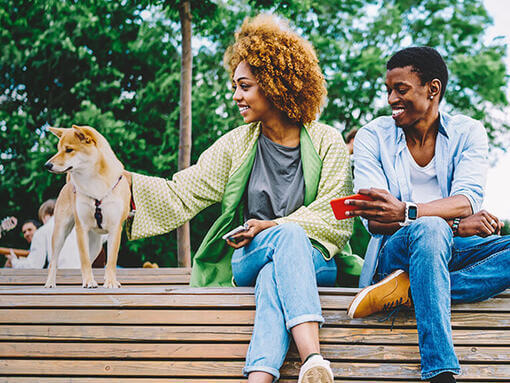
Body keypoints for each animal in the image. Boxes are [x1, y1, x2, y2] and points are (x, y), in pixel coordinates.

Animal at [43, 126, 130, 288]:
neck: (93, 182)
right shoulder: (81, 228)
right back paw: (50, 283)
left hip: (95, 245)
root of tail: (68, 183)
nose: (47, 165)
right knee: (54, 261)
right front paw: (89, 281)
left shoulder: (115, 229)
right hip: (60, 232)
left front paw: (110, 281)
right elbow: (84, 260)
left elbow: (111, 261)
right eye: (58, 149)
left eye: (69, 150)